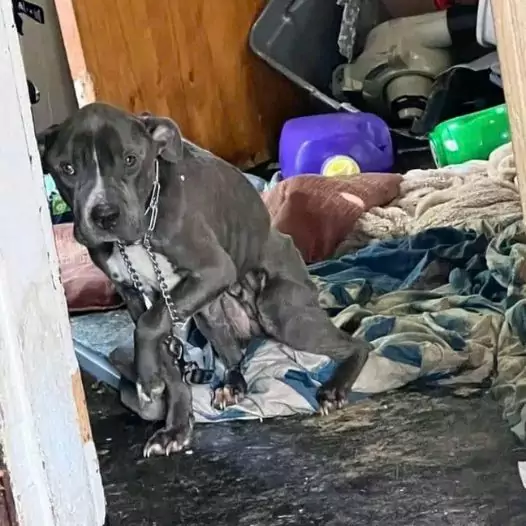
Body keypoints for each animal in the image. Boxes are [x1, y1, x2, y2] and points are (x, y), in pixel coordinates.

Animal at [37, 102, 374, 458]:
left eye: (130, 159)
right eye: (67, 168)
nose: (104, 216)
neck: (141, 233)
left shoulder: (214, 270)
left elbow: (150, 326)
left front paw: (147, 379)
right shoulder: (135, 296)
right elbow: (165, 357)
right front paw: (175, 427)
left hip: (281, 312)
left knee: (358, 344)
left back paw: (334, 389)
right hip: (209, 316)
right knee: (235, 358)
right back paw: (231, 386)